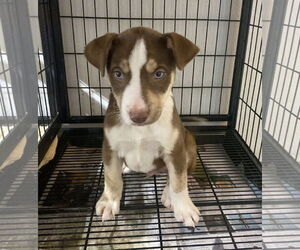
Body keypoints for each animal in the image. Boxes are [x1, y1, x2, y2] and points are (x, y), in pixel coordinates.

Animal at [85, 26, 199, 227]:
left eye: (159, 74)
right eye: (118, 74)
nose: (138, 116)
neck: (140, 130)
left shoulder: (175, 149)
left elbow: (179, 181)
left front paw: (185, 208)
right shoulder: (110, 148)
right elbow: (111, 177)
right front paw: (108, 201)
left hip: (189, 141)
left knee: (179, 174)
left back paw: (168, 194)